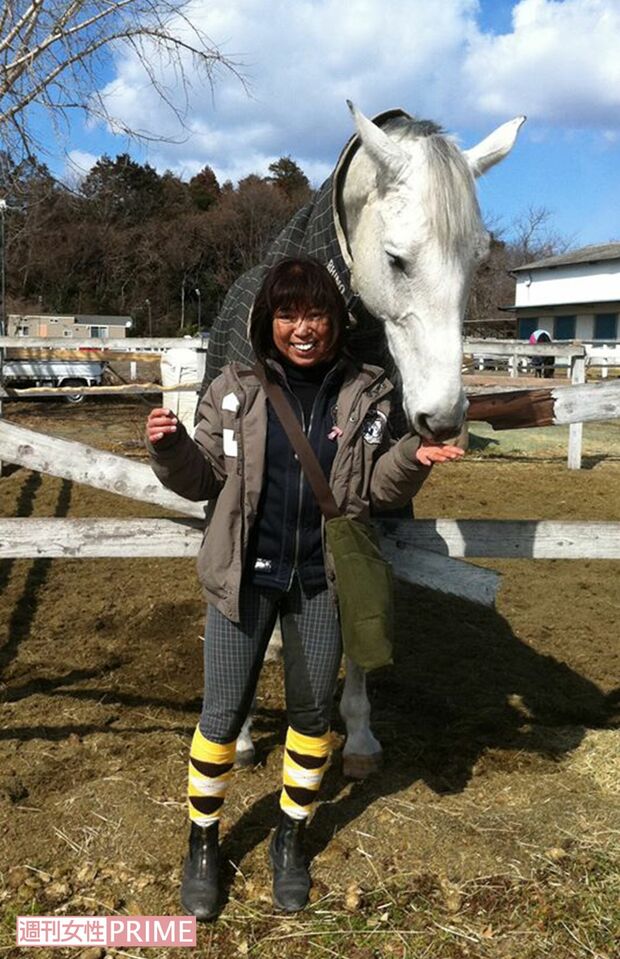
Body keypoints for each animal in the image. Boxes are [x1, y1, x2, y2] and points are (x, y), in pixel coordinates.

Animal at [200, 102, 525, 777]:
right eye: (397, 259)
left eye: (477, 262)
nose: (444, 416)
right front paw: (238, 737)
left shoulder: (362, 500)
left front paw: (359, 733)